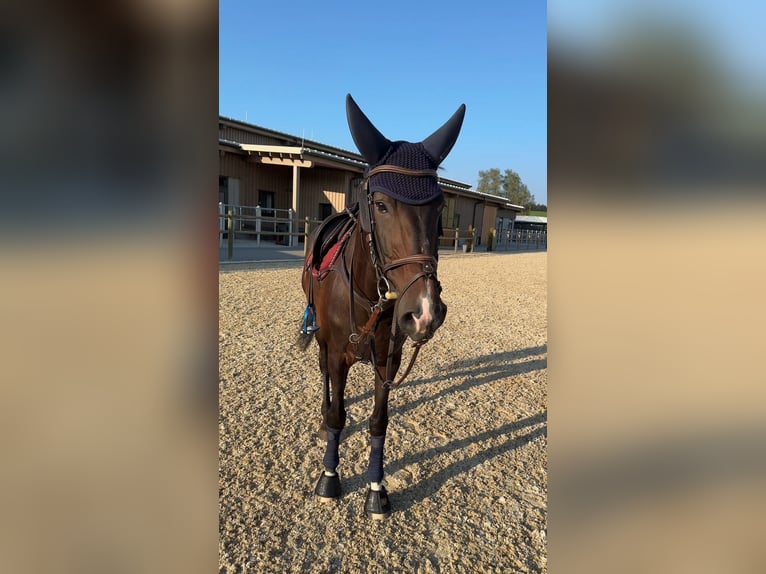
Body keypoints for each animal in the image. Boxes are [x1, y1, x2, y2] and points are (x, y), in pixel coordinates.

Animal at [300, 93, 468, 516]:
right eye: (379, 204)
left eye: (439, 206)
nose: (425, 312)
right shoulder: (338, 354)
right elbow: (338, 416)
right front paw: (329, 478)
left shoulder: (388, 359)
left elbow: (379, 421)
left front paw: (376, 488)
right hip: (322, 342)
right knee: (324, 381)